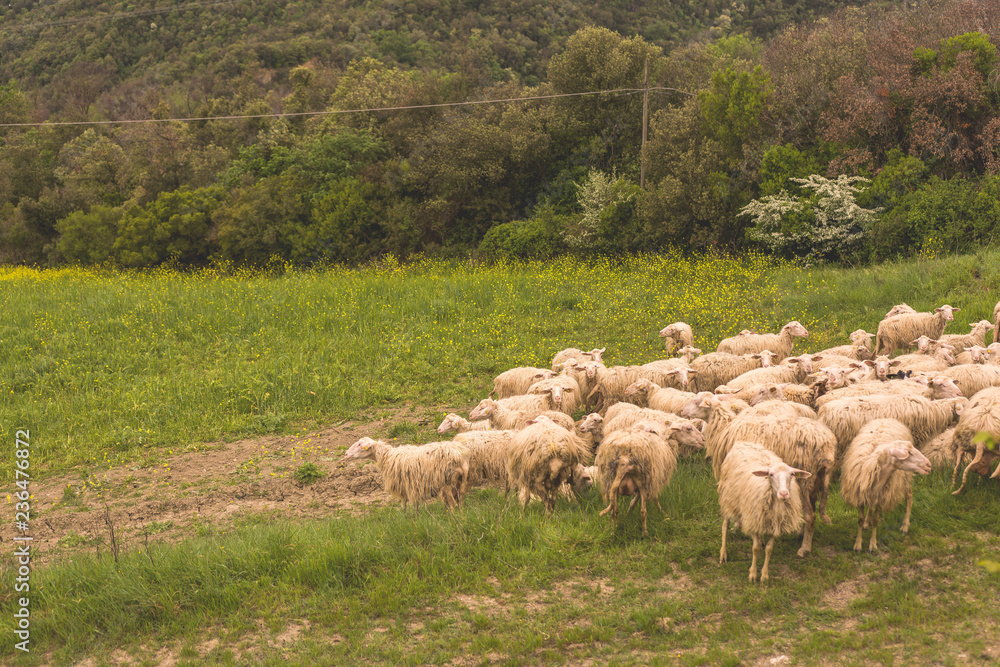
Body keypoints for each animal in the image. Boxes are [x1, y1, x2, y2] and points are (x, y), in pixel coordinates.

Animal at [712, 414, 837, 556]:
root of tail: (826, 444)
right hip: (817, 479)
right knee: (813, 506)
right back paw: (801, 534)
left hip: (803, 481)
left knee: (810, 515)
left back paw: (804, 548)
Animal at [718, 441, 811, 582]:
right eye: (771, 475)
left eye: (792, 474)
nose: (784, 494)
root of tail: (743, 442)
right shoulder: (752, 519)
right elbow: (755, 549)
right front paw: (752, 574)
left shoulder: (774, 524)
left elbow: (769, 549)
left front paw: (765, 575)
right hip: (728, 497)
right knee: (725, 525)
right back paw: (723, 553)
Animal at [840, 419, 932, 552]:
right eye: (909, 453)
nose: (929, 464)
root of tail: (889, 419)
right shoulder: (860, 495)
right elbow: (860, 520)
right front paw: (858, 544)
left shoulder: (882, 498)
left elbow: (876, 520)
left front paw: (873, 544)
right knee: (870, 507)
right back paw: (867, 523)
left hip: (905, 478)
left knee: (909, 496)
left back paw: (905, 526)